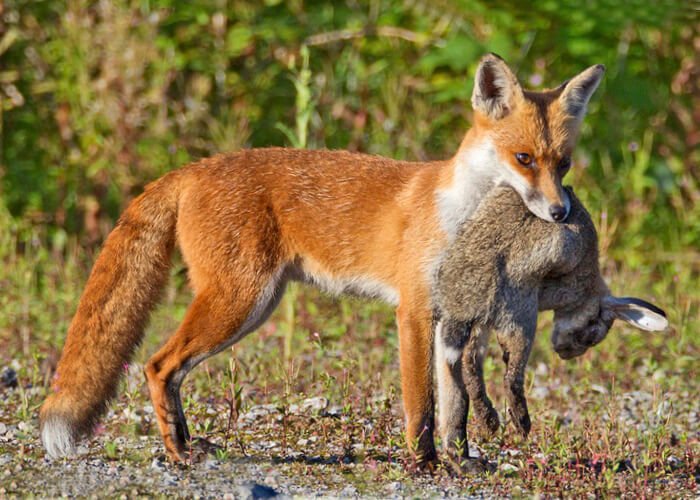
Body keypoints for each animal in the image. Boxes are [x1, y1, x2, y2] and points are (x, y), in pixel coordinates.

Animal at [40, 54, 606, 466]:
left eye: (563, 163)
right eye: (523, 159)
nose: (559, 212)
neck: (463, 214)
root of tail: (194, 167)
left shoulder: (456, 317)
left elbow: (455, 406)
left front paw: (460, 462)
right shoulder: (415, 311)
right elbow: (421, 405)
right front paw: (423, 464)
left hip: (254, 306)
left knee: (170, 371)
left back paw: (186, 444)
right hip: (240, 301)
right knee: (158, 366)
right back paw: (178, 453)